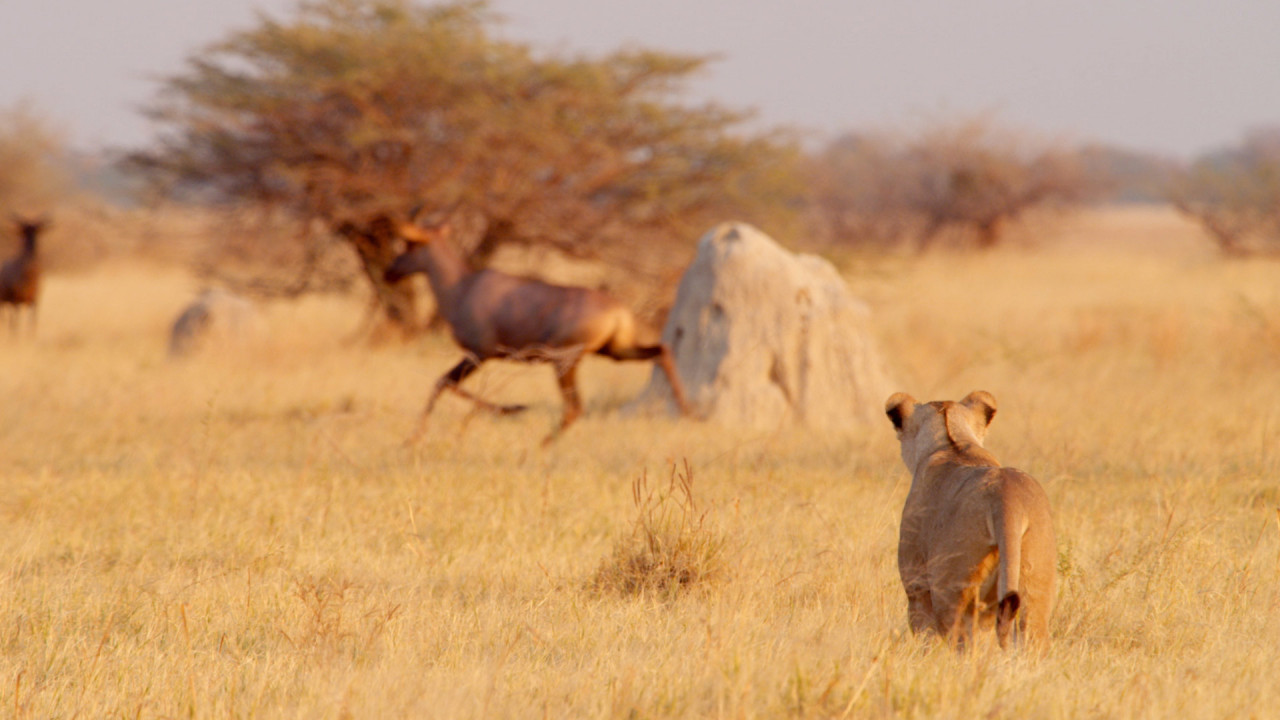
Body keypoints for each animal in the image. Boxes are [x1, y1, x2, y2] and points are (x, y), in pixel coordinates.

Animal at [384, 219, 696, 443]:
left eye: (409, 245)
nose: (389, 273)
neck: (463, 287)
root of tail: (619, 311)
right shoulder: (482, 356)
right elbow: (444, 383)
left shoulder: (480, 353)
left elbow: (443, 383)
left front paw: (513, 408)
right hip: (615, 351)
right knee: (662, 351)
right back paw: (687, 412)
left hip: (564, 362)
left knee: (575, 408)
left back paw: (540, 446)